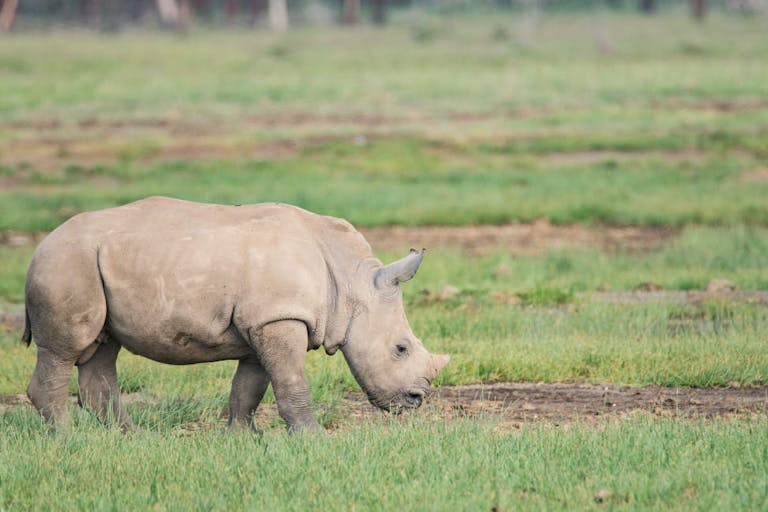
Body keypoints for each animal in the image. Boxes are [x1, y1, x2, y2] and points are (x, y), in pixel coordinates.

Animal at [23, 196, 449, 432]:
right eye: (400, 349)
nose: (416, 400)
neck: (351, 280)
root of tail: (40, 246)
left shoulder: (264, 320)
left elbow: (250, 387)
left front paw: (242, 438)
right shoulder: (280, 317)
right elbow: (291, 382)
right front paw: (312, 437)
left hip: (91, 264)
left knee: (102, 348)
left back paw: (132, 439)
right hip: (66, 264)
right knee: (64, 350)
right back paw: (68, 439)